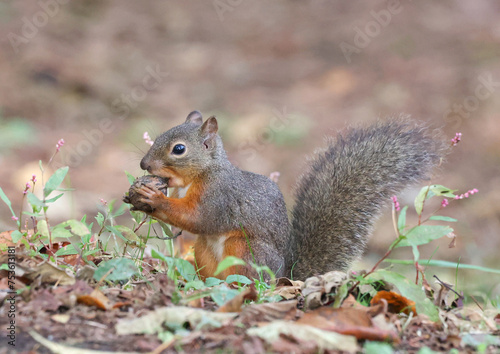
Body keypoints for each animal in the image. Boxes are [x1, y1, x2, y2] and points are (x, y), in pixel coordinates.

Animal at [127, 112, 448, 280]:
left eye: (179, 149)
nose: (143, 164)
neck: (200, 175)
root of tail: (285, 277)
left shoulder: (219, 196)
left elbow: (197, 217)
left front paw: (153, 199)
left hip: (243, 249)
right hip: (205, 250)